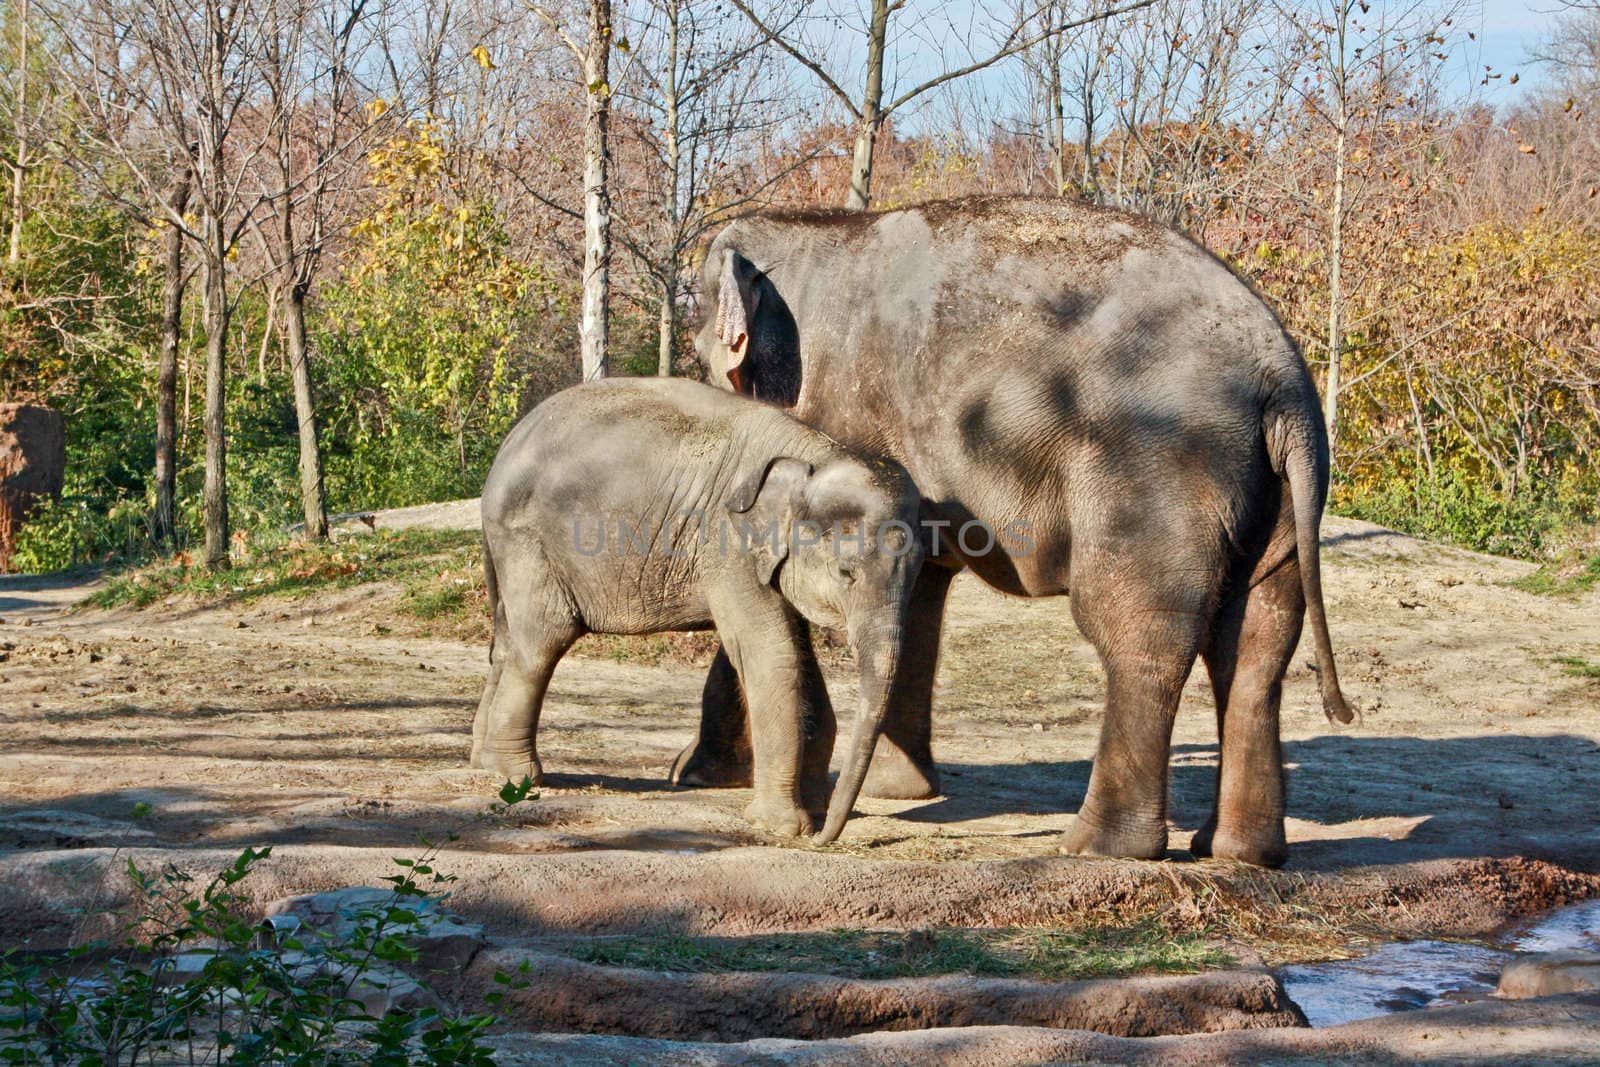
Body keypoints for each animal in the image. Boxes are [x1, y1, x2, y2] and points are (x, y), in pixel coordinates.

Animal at [467, 379, 928, 844]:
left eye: (919, 572)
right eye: (846, 572)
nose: (824, 837)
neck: (814, 453)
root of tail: (508, 446)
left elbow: (797, 654)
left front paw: (813, 807)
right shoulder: (729, 544)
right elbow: (772, 654)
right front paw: (783, 826)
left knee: (507, 642)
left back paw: (481, 761)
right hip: (529, 540)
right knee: (542, 642)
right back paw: (515, 776)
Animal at [668, 198, 1356, 870]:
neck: (812, 224)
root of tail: (1284, 381)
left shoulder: (840, 419)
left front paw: (697, 775)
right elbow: (917, 594)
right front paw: (899, 791)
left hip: (1156, 473)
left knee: (1140, 631)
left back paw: (1098, 847)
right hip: (1274, 497)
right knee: (1257, 641)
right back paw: (1239, 853)